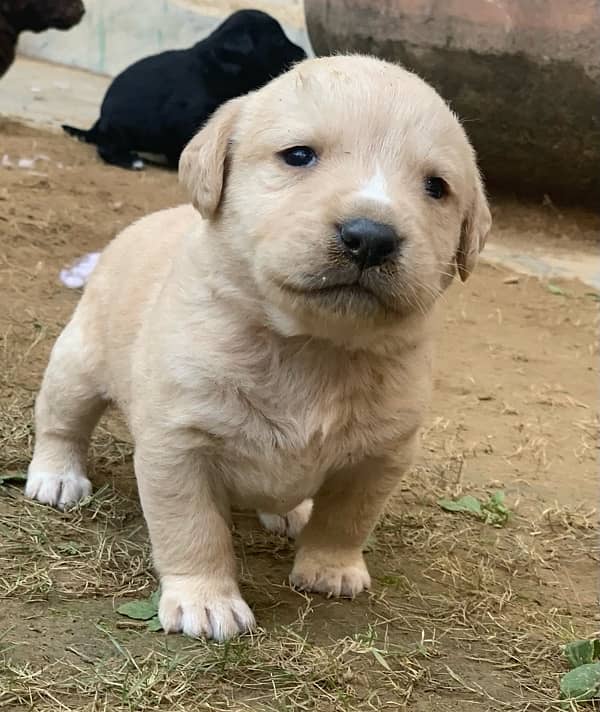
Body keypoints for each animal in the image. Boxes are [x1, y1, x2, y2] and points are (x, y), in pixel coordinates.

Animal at [25, 55, 490, 644]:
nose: (371, 237)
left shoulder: (381, 455)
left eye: (436, 187)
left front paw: (331, 567)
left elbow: (348, 518)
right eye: (299, 155)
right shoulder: (178, 444)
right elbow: (193, 528)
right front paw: (205, 601)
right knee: (62, 422)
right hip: (78, 361)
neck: (311, 346)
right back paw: (57, 476)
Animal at [62, 10, 304, 169]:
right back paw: (130, 160)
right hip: (119, 130)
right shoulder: (184, 117)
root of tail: (98, 124)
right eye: (278, 39)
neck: (217, 66)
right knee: (106, 148)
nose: (302, 52)